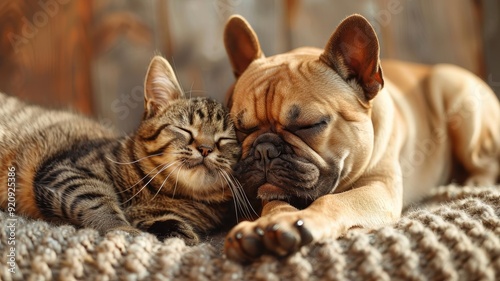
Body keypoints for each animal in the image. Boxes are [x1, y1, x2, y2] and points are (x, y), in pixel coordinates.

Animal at [0, 55, 252, 243]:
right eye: (185, 130)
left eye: (225, 139)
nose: (206, 148)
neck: (170, 194)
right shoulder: (68, 171)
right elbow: (98, 202)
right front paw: (124, 230)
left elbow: (171, 225)